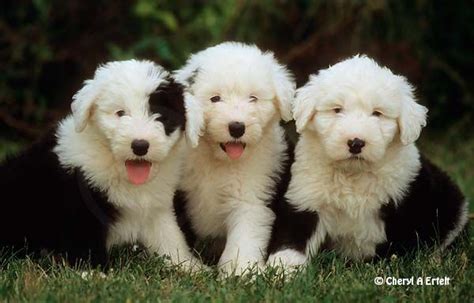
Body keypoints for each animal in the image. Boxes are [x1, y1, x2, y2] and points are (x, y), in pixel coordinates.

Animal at [172, 41, 294, 276]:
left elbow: (243, 239)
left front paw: (241, 273)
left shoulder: (251, 197)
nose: (237, 127)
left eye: (253, 98)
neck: (218, 159)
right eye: (215, 98)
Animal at [268, 55, 468, 268]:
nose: (356, 143)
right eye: (337, 109)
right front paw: (280, 269)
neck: (354, 174)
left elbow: (399, 248)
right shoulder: (307, 198)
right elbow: (292, 239)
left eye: (377, 113)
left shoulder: (404, 202)